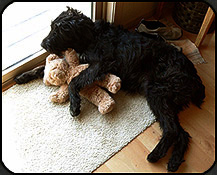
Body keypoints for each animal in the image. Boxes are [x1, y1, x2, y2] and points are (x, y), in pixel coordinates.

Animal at [15, 7, 205, 172]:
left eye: (60, 30)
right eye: (52, 27)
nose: (43, 44)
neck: (91, 36)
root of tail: (194, 76)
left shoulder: (101, 64)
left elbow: (73, 81)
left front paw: (74, 105)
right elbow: (43, 69)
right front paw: (23, 76)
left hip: (157, 93)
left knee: (172, 130)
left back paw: (155, 154)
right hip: (166, 100)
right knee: (182, 133)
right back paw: (173, 162)